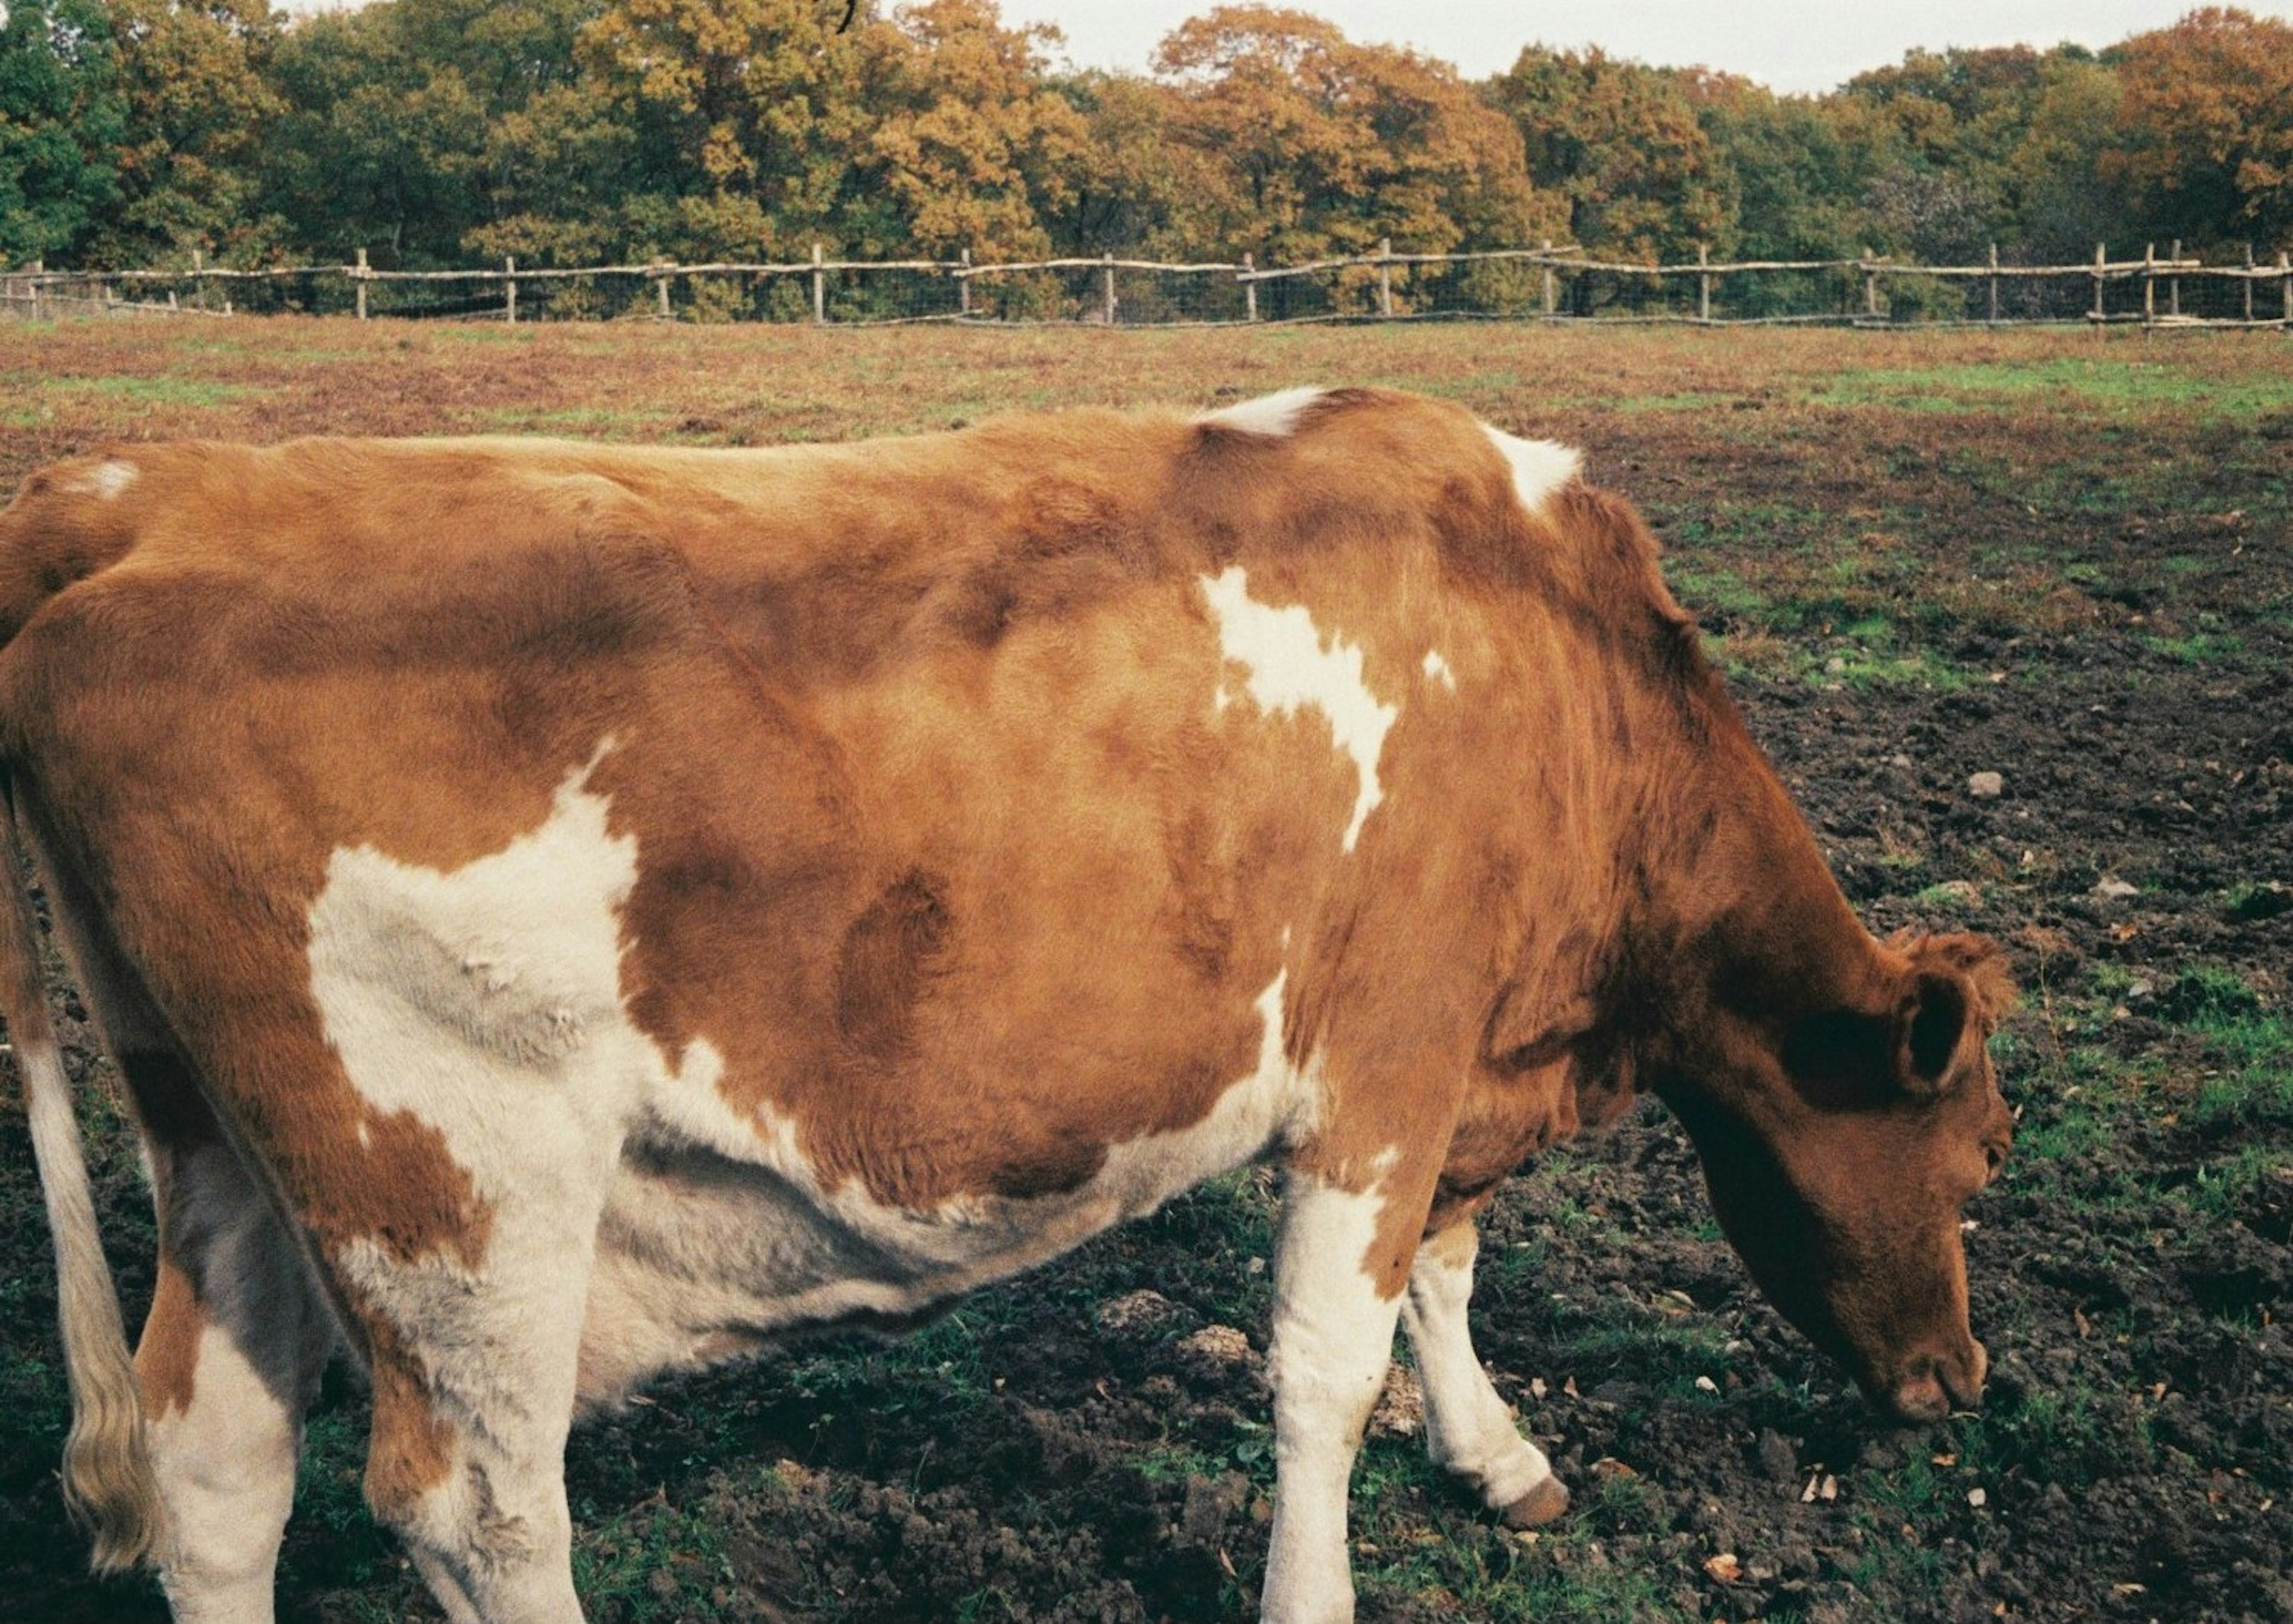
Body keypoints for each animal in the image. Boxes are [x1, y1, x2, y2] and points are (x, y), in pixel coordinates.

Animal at [0, 390, 2008, 1624]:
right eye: (1977, 1156)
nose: (1957, 1382)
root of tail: (139, 495)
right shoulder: (1387, 1056)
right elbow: (1327, 1360)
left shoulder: (1460, 1072)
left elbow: (1443, 1271)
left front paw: (1499, 1455)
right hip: (455, 1181)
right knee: (477, 1511)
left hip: (221, 1142)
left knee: (216, 1463)